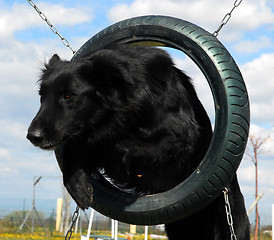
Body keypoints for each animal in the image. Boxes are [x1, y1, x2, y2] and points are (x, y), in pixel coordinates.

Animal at [26, 45, 249, 240]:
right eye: (42, 96)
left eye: (68, 96)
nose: (32, 136)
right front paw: (78, 185)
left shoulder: (179, 138)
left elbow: (121, 147)